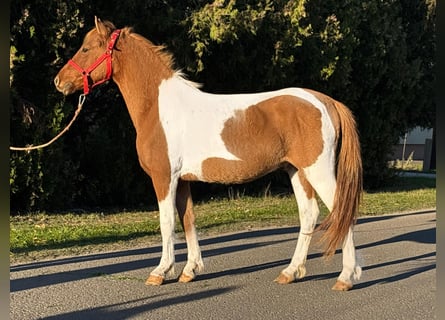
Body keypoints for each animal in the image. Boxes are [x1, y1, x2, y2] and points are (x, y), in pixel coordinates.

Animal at [54, 18, 360, 292]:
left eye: (86, 48)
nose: (59, 81)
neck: (159, 107)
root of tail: (327, 101)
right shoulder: (183, 180)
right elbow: (188, 220)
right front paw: (189, 271)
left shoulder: (164, 178)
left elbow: (166, 222)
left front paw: (160, 272)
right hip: (298, 171)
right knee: (309, 214)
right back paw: (290, 272)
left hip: (318, 171)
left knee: (341, 212)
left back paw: (346, 277)